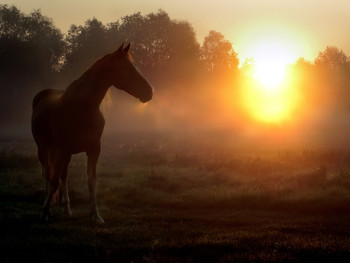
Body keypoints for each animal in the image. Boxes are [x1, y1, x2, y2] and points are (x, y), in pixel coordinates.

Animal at [30, 42, 154, 223]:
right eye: (128, 68)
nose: (150, 91)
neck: (82, 108)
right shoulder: (60, 149)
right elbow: (52, 182)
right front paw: (45, 212)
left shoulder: (94, 149)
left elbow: (91, 181)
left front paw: (95, 215)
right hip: (44, 149)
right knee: (48, 175)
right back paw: (48, 207)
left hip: (65, 154)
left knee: (63, 176)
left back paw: (67, 209)